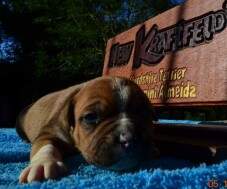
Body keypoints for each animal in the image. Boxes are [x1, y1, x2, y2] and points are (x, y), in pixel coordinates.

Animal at [16, 76, 157, 183]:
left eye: (145, 113)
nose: (129, 138)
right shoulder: (49, 133)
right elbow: (45, 146)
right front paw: (42, 164)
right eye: (90, 117)